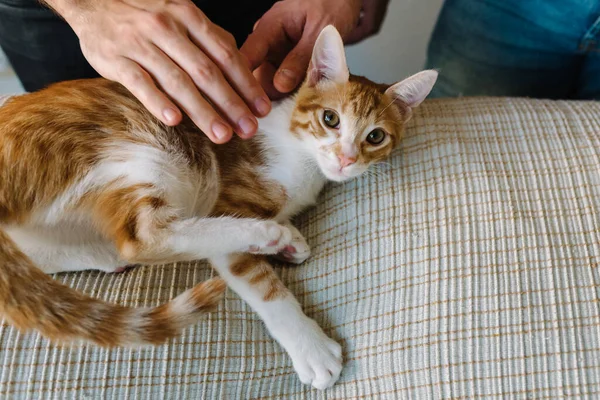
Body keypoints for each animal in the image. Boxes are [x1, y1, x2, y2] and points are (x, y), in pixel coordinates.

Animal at [0, 24, 436, 388]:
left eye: (375, 136)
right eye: (330, 119)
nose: (346, 159)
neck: (304, 159)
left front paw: (291, 241)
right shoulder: (229, 199)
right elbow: (261, 284)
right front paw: (310, 346)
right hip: (141, 146)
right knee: (143, 237)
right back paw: (264, 233)